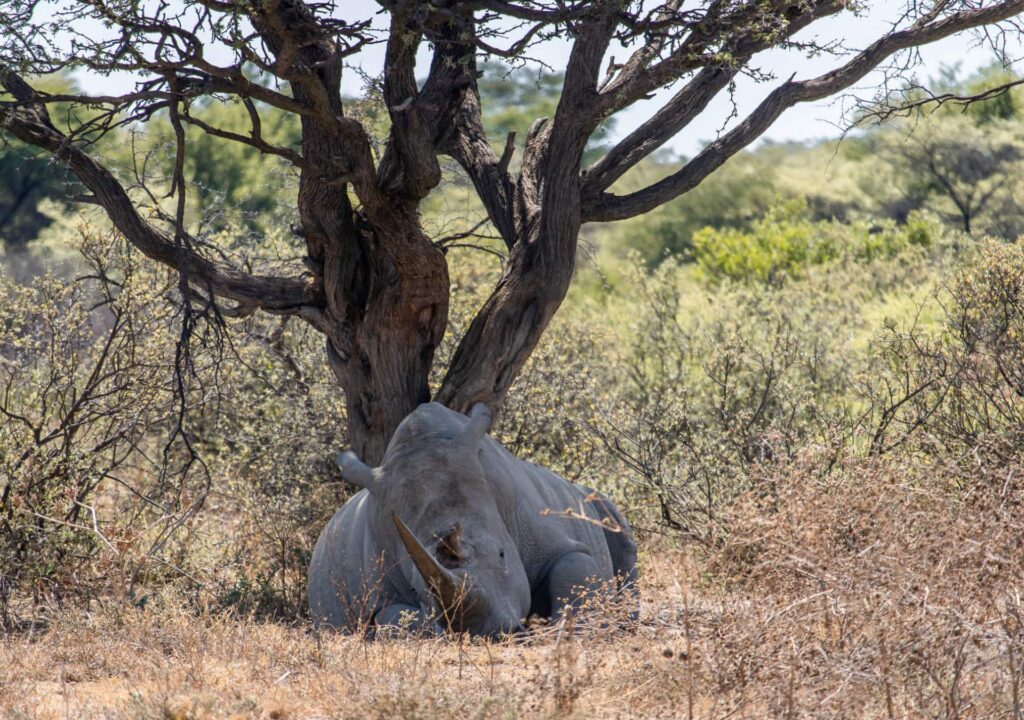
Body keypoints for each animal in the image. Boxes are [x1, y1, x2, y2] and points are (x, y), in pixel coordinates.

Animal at [308, 402, 637, 637]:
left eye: (503, 554)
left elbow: (574, 566)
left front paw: (576, 629)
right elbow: (395, 618)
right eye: (417, 589)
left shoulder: (546, 535)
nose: (490, 634)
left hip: (589, 500)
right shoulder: (377, 593)